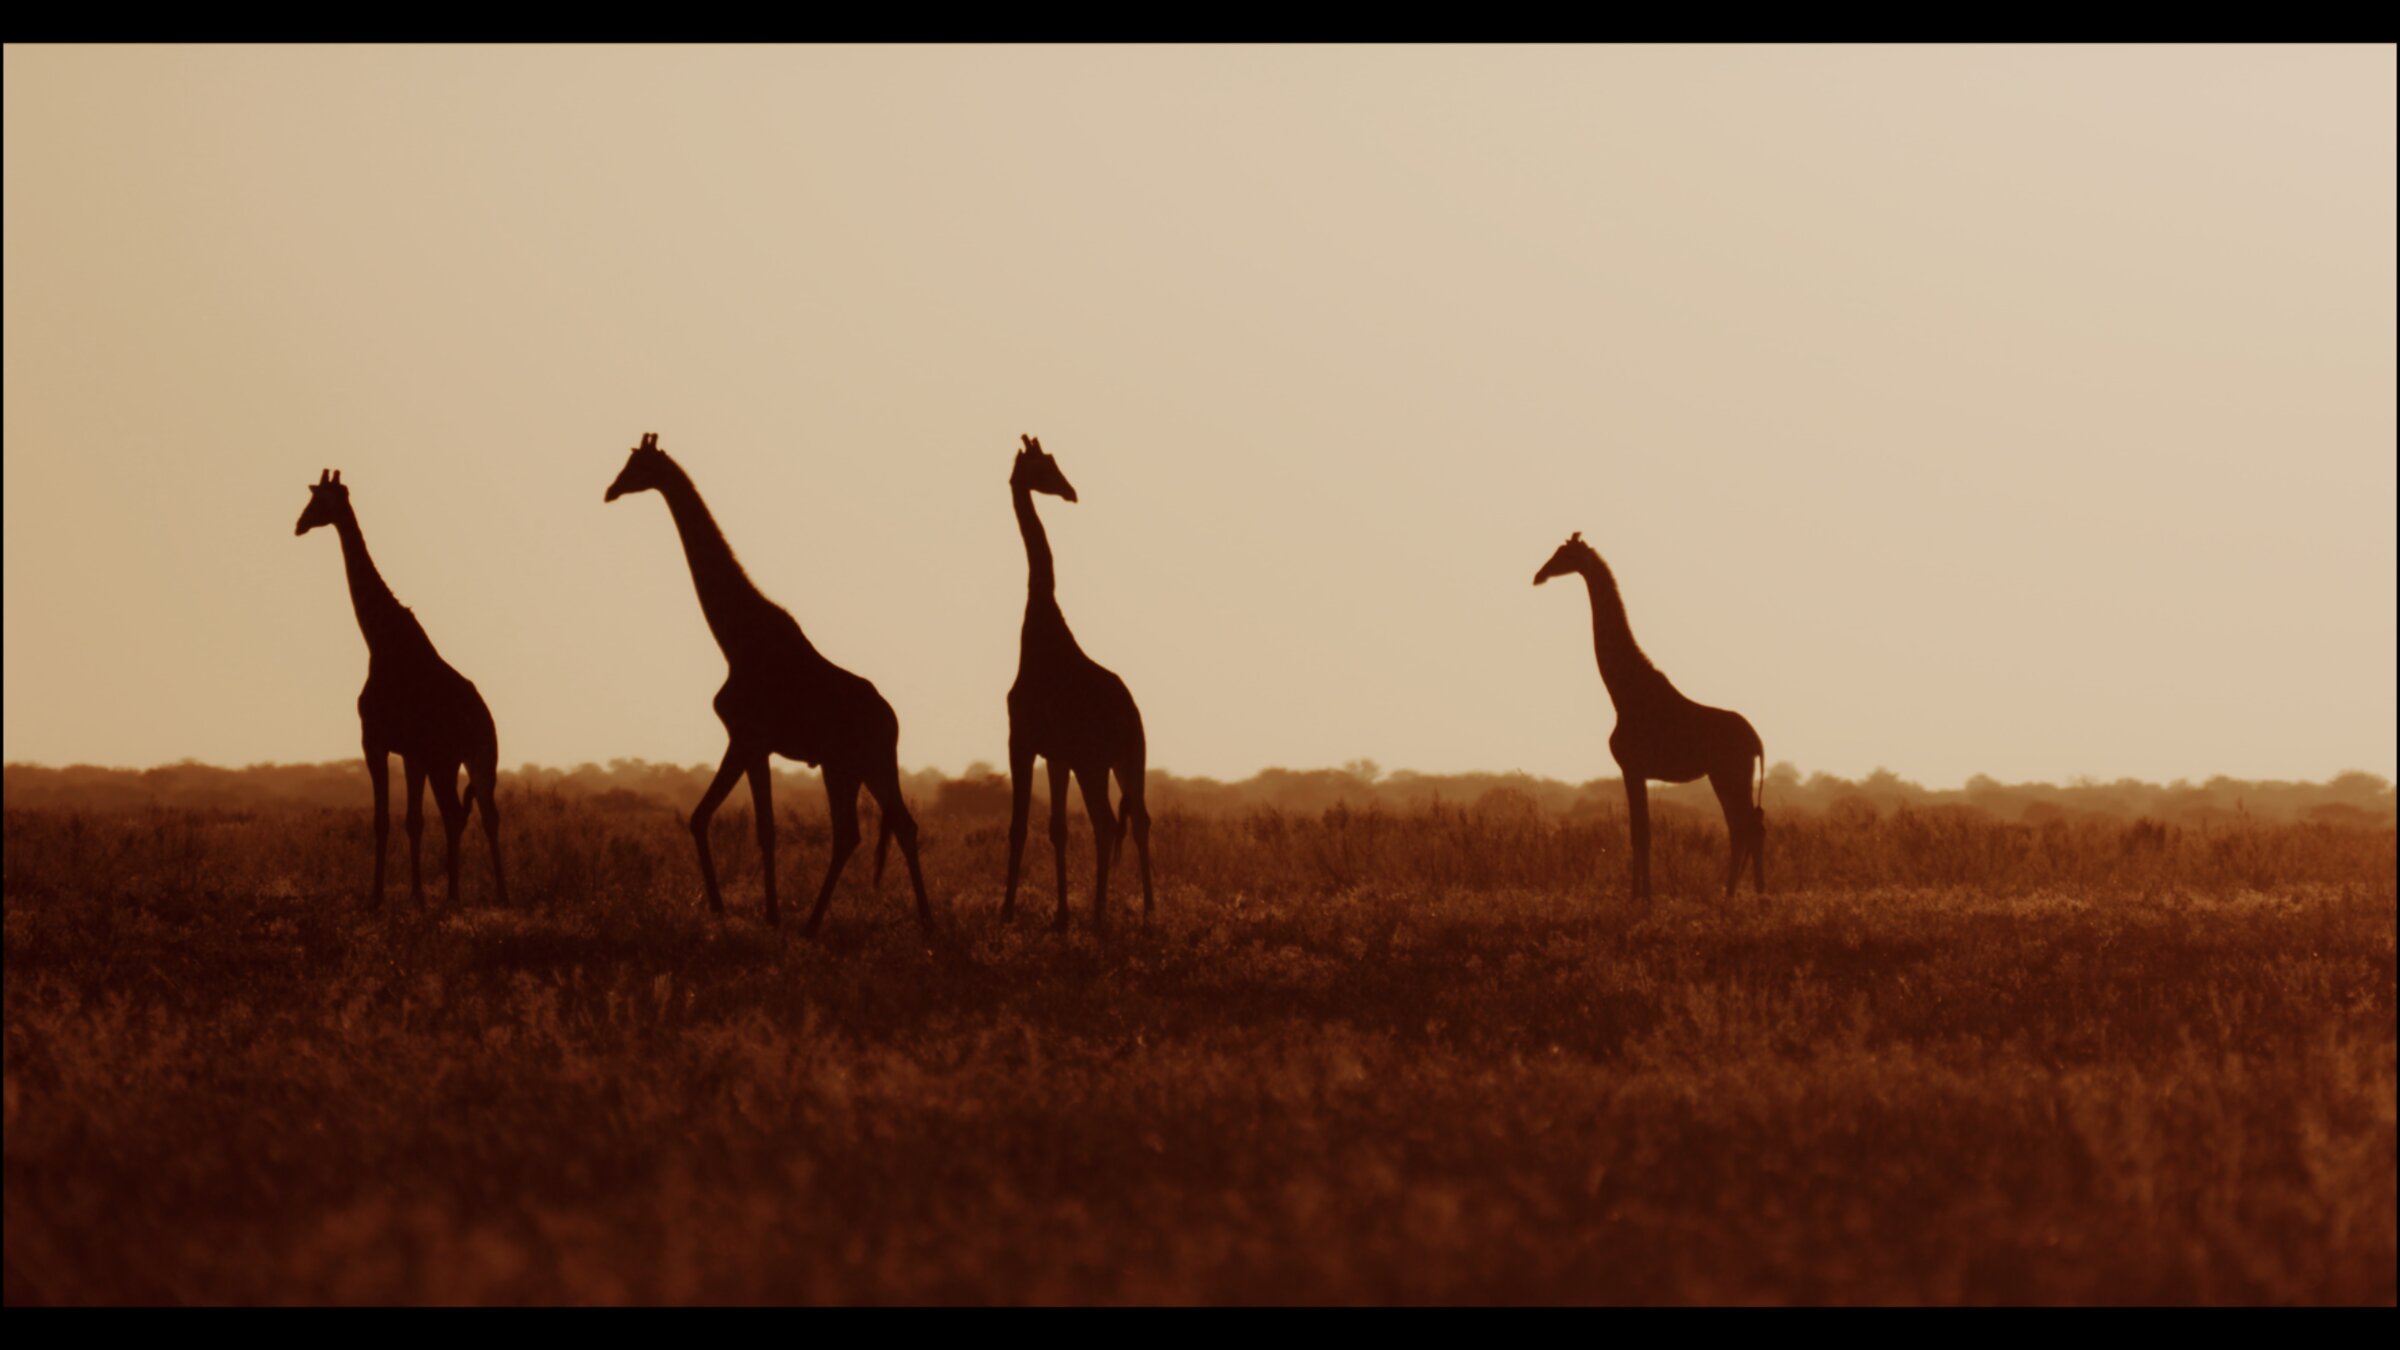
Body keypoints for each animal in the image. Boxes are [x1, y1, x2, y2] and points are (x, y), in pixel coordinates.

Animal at [295, 470, 507, 908]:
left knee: (466, 814)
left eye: (322, 501)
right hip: (468, 756)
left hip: (460, 756)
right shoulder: (410, 752)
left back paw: (473, 896)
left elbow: (385, 820)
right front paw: (415, 896)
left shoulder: (375, 741)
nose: (299, 524)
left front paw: (377, 898)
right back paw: (482, 895)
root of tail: (486, 717)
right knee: (476, 813)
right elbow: (412, 820)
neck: (381, 642)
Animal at [605, 433, 932, 935]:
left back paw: (828, 924)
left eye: (639, 466)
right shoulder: (751, 742)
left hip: (855, 763)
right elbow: (719, 820)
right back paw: (905, 923)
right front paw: (751, 911)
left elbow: (744, 826)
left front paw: (748, 912)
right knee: (884, 827)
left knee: (864, 830)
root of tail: (892, 718)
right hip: (856, 765)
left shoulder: (747, 737)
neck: (734, 639)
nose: (611, 490)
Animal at [1001, 434, 1154, 932]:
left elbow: (1020, 826)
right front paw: (1061, 915)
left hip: (1097, 761)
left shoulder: (1023, 740)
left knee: (1107, 823)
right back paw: (1148, 913)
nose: (1070, 492)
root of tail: (1129, 714)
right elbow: (1056, 829)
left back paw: (1103, 915)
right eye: (1043, 466)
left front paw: (1006, 912)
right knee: (1139, 819)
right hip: (1127, 757)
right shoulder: (1055, 753)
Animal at [1534, 532, 1765, 901]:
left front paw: (1642, 896)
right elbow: (1638, 832)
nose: (1538, 575)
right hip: (1733, 775)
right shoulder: (1636, 770)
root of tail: (1757, 741)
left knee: (1745, 827)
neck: (1623, 694)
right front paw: (1639, 893)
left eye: (1562, 554)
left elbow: (1640, 834)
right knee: (1749, 825)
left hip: (1728, 773)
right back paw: (1752, 893)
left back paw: (1736, 895)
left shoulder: (1630, 766)